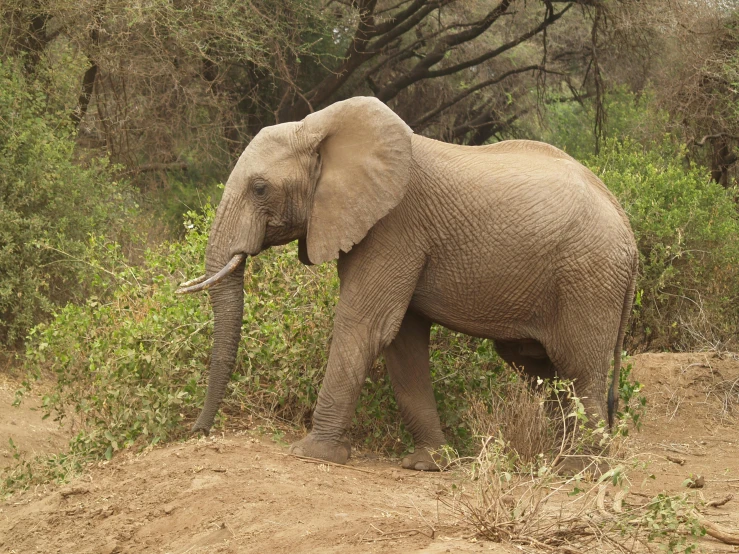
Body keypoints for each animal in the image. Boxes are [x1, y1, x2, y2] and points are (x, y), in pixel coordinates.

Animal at [176, 96, 640, 470]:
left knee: (579, 368)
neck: (322, 129)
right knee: (539, 369)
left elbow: (365, 326)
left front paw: (310, 454)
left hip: (588, 275)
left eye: (259, 188)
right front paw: (428, 465)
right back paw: (555, 460)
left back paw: (580, 470)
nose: (199, 433)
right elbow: (401, 341)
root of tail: (629, 230)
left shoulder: (394, 225)